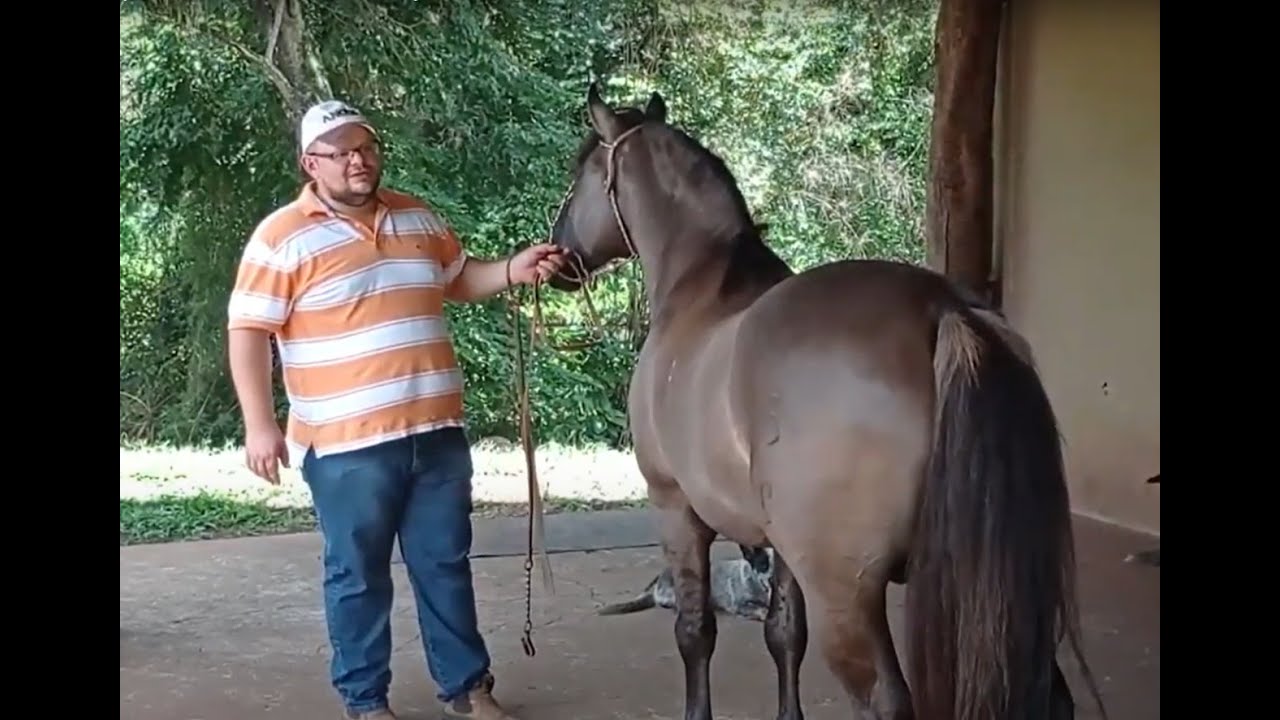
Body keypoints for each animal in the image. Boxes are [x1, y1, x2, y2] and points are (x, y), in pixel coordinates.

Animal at [547, 83, 1100, 717]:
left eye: (582, 171)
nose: (558, 252)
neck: (701, 287)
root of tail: (944, 310)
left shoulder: (677, 511)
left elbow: (696, 634)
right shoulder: (780, 550)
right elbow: (785, 636)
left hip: (848, 596)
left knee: (885, 698)